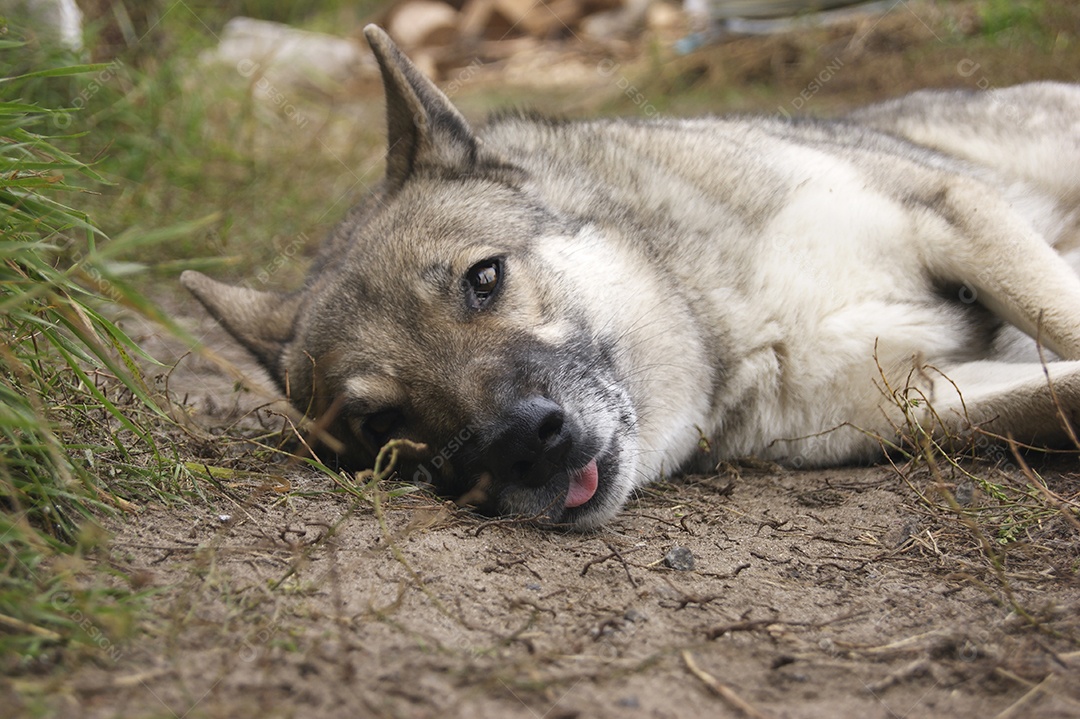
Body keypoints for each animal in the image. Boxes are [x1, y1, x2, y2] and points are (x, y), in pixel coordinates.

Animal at [183, 26, 1080, 526]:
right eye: (380, 425)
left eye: (484, 279)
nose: (520, 446)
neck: (744, 326)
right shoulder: (934, 398)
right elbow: (1058, 393)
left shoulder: (950, 210)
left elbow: (1061, 320)